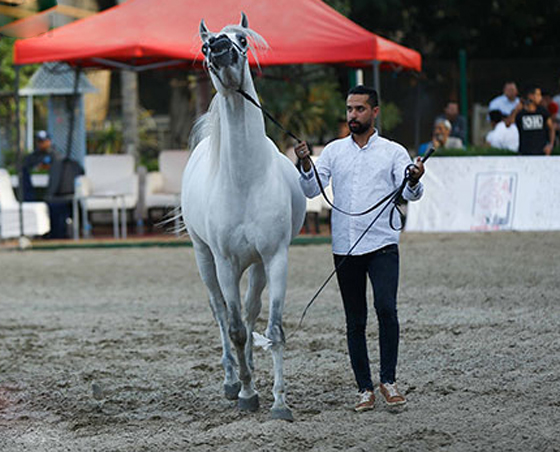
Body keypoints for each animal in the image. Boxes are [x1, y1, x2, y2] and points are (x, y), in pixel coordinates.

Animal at [182, 12, 306, 420]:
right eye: (205, 45)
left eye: (243, 40)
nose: (221, 49)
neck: (245, 180)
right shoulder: (225, 262)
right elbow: (234, 328)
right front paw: (247, 392)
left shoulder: (275, 257)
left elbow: (274, 328)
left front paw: (280, 402)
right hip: (204, 258)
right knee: (223, 315)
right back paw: (231, 380)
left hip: (257, 266)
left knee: (251, 315)